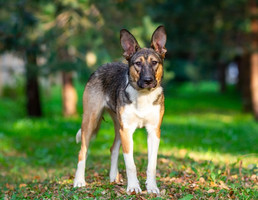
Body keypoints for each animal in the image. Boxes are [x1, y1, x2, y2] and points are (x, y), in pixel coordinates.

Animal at [73, 25, 166, 194]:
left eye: (155, 62)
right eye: (137, 63)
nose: (148, 80)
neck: (143, 97)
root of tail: (101, 67)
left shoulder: (154, 131)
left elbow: (152, 165)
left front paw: (152, 187)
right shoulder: (127, 131)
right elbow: (130, 164)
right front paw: (134, 187)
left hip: (118, 127)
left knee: (113, 149)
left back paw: (112, 178)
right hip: (91, 121)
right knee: (82, 152)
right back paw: (79, 181)